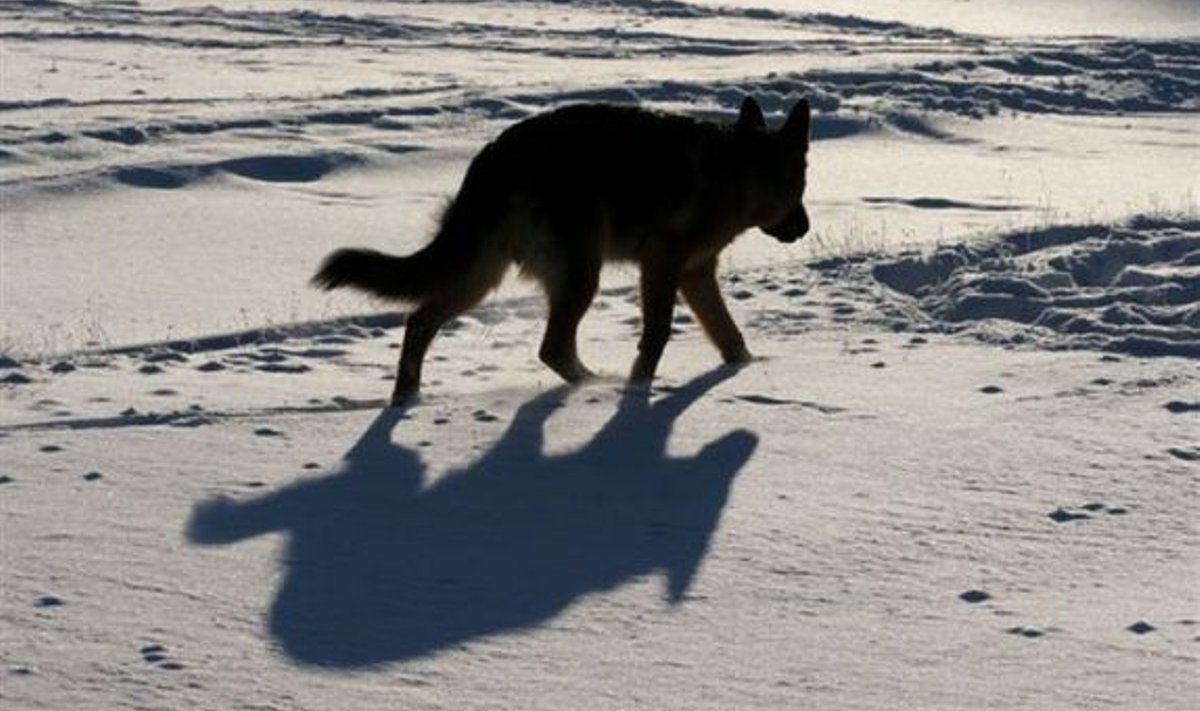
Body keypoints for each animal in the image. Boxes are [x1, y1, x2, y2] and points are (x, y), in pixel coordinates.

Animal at [314, 96, 811, 405]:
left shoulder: (695, 274)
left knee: (419, 321)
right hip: (579, 274)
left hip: (482, 274)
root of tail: (497, 152)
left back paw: (406, 400)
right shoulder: (662, 264)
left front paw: (745, 370)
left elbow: (730, 336)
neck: (737, 170)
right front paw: (637, 391)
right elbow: (656, 334)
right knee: (552, 347)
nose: (805, 228)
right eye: (802, 188)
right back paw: (596, 384)